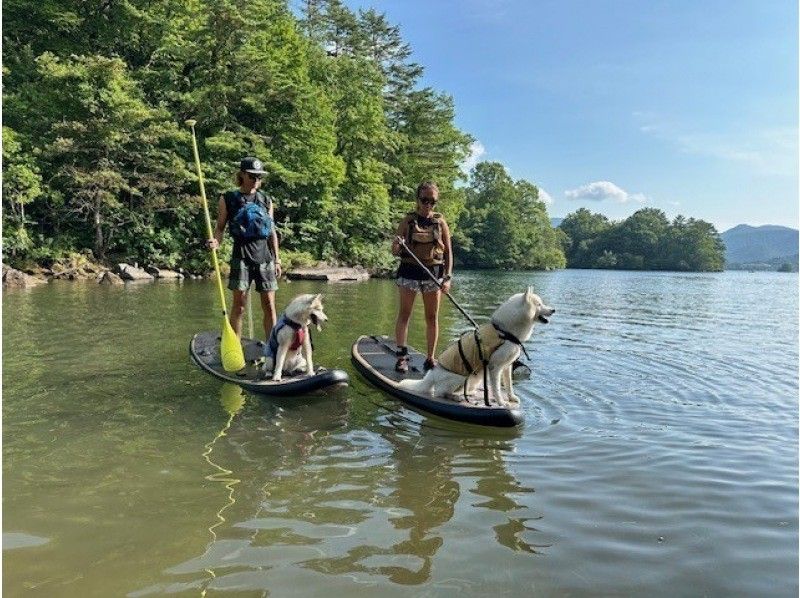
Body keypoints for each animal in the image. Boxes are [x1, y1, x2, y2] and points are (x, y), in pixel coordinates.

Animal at [396, 288, 552, 408]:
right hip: (459, 377)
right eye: (539, 304)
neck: (505, 331)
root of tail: (430, 375)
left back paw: (468, 393)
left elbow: (509, 385)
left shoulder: (507, 366)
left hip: (475, 377)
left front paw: (511, 398)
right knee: (440, 392)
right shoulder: (495, 367)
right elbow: (497, 389)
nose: (554, 310)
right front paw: (502, 403)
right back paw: (456, 397)